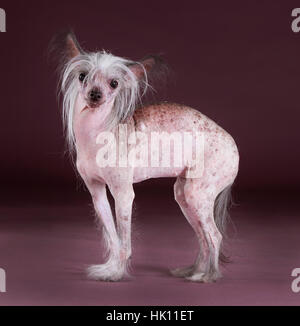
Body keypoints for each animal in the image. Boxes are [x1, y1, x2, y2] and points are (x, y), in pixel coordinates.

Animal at [52, 31, 239, 282]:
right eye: (82, 76)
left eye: (114, 83)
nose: (95, 94)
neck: (96, 132)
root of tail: (233, 143)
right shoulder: (97, 193)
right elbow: (113, 239)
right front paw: (109, 269)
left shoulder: (123, 194)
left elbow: (124, 243)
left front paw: (116, 273)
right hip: (184, 194)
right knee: (203, 237)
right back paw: (194, 271)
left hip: (197, 193)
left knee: (215, 236)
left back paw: (209, 276)